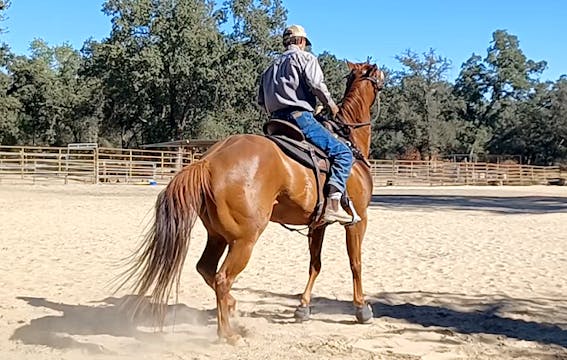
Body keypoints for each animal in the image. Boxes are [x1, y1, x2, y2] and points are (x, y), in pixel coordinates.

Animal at [124, 60, 386, 342]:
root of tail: (208, 161)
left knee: (206, 269)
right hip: (245, 239)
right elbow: (355, 263)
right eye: (378, 76)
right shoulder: (358, 219)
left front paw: (303, 308)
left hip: (218, 235)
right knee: (222, 278)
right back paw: (228, 333)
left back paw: (232, 309)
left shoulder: (318, 224)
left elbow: (314, 265)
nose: (385, 79)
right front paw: (362, 309)